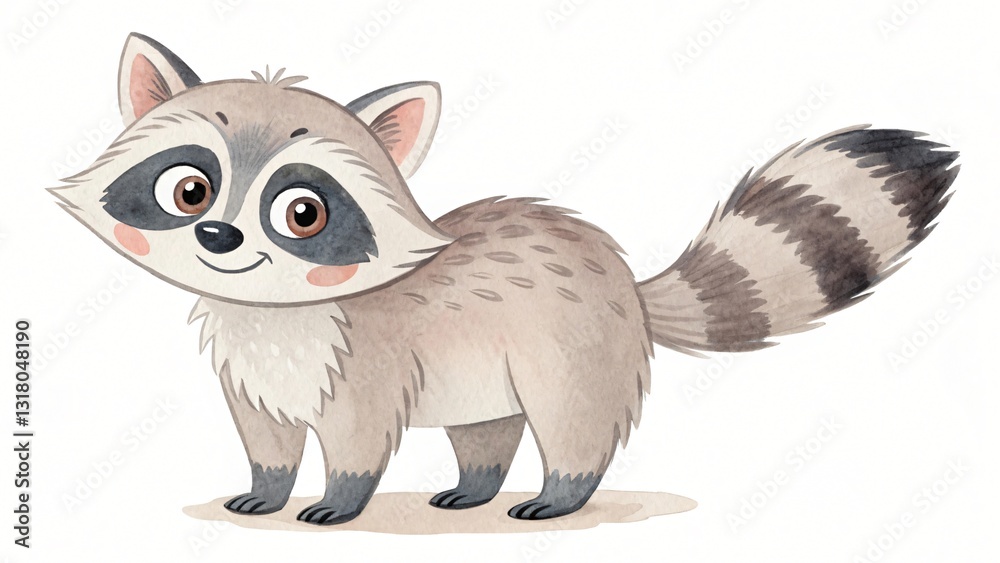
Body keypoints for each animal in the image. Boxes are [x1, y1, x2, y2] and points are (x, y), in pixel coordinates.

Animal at [51, 33, 959, 525]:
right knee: (486, 430)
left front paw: (340, 496)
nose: (218, 235)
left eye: (302, 211)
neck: (274, 307)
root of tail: (621, 279)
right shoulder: (256, 368)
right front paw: (266, 487)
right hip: (485, 369)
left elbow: (357, 437)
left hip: (569, 343)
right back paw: (475, 484)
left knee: (572, 420)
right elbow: (266, 435)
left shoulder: (364, 358)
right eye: (190, 189)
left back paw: (563, 491)